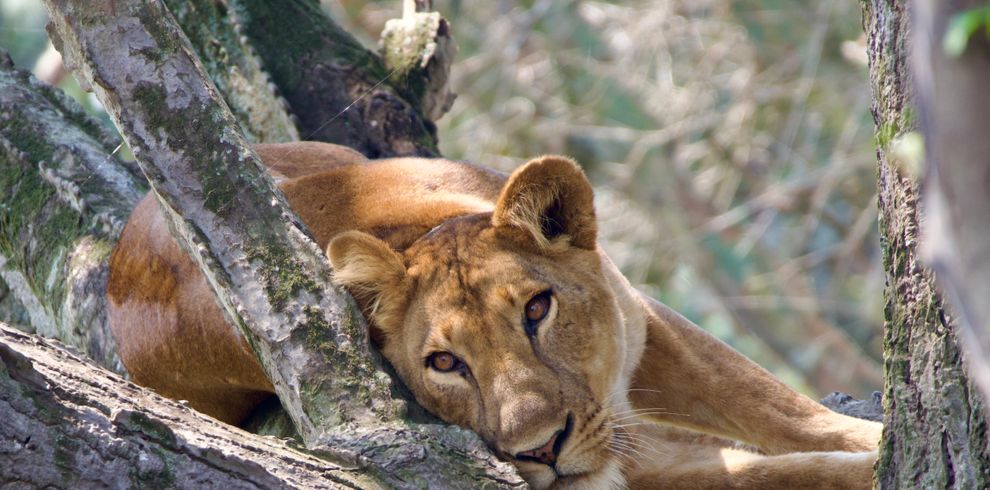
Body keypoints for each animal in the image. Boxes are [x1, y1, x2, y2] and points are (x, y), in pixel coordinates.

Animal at [107, 142, 881, 489]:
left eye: (538, 310)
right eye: (445, 363)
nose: (541, 449)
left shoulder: (650, 323)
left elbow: (769, 402)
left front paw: (872, 435)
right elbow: (764, 470)